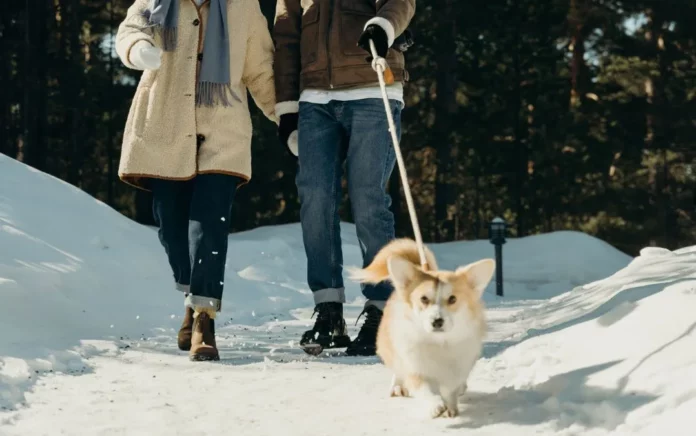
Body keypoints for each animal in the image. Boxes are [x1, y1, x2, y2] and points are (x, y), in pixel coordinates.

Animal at [348, 238, 494, 418]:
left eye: (452, 299)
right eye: (423, 299)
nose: (437, 321)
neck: (439, 343)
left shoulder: (457, 367)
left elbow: (449, 389)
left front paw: (450, 406)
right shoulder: (415, 368)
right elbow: (425, 389)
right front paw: (436, 405)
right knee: (398, 368)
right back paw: (397, 386)